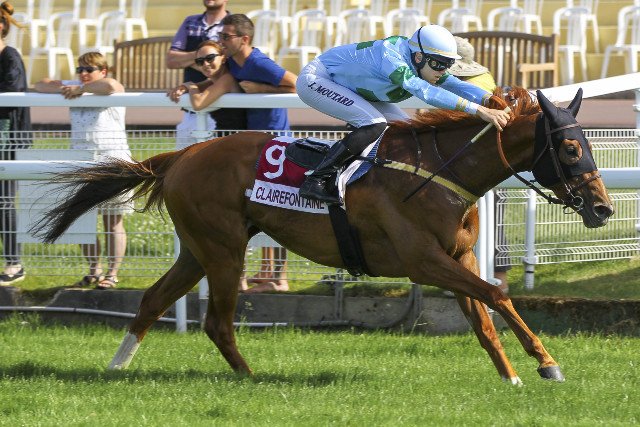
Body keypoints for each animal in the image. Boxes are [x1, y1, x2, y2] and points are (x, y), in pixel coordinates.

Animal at [32, 87, 613, 385]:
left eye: (587, 143)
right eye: (570, 149)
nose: (603, 208)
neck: (439, 172)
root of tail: (181, 154)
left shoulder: (460, 257)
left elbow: (485, 313)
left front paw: (516, 372)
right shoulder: (422, 261)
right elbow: (496, 294)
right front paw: (544, 363)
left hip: (199, 249)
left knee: (154, 300)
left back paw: (117, 366)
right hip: (224, 250)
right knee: (217, 322)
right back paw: (250, 377)